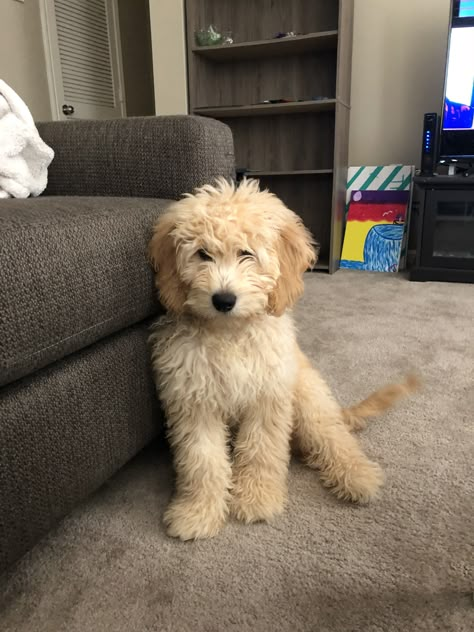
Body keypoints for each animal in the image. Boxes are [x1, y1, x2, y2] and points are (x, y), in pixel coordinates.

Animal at [149, 180, 418, 540]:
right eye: (203, 254)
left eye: (246, 254)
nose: (223, 299)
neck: (229, 333)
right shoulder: (194, 403)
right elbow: (201, 460)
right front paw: (197, 512)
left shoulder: (268, 396)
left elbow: (261, 450)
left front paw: (257, 499)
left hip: (307, 398)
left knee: (334, 439)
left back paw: (357, 475)